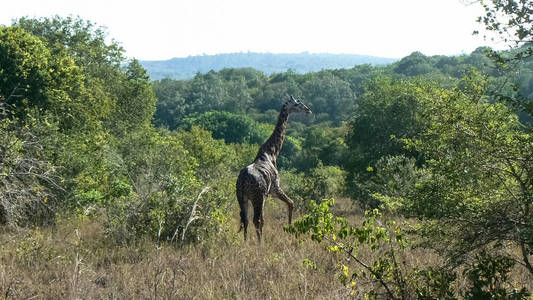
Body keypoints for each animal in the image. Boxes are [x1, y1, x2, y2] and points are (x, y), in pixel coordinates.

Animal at [236, 95, 312, 243]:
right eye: (297, 104)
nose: (308, 110)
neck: (271, 152)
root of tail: (242, 181)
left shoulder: (267, 195)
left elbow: (264, 219)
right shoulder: (275, 188)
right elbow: (291, 203)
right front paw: (290, 230)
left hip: (242, 198)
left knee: (245, 219)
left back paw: (246, 242)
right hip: (257, 197)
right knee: (256, 220)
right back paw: (260, 244)